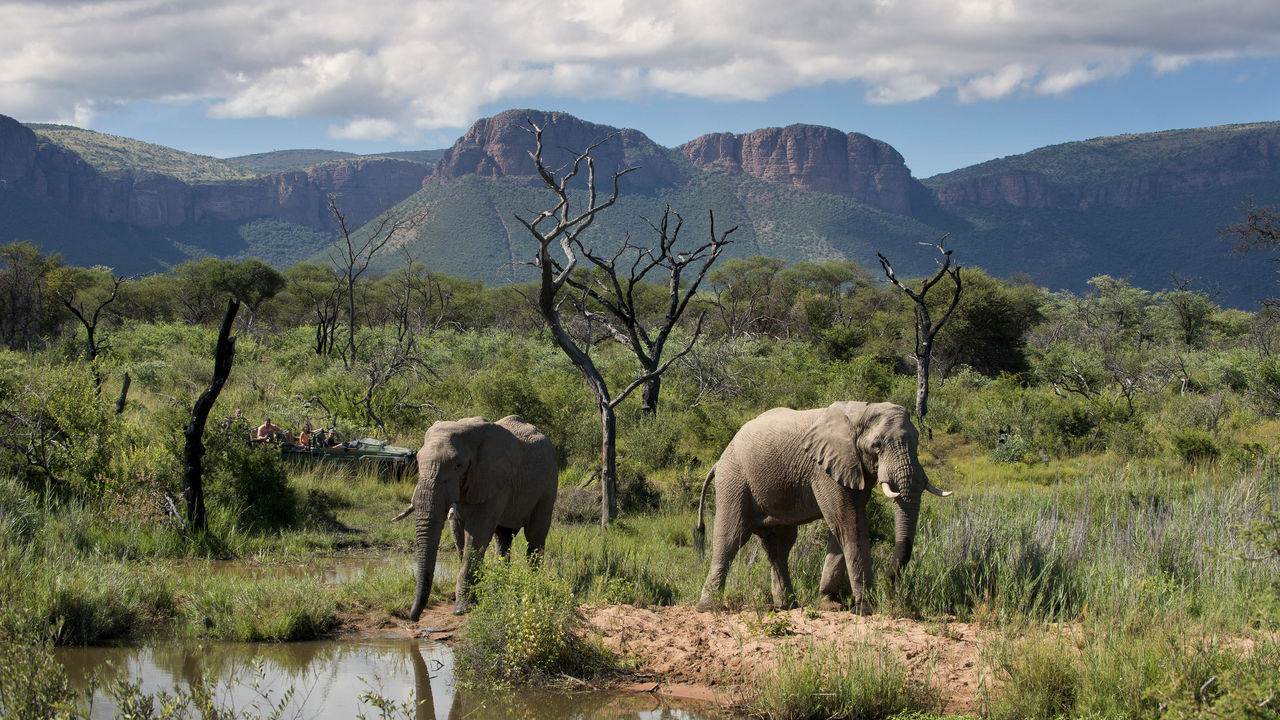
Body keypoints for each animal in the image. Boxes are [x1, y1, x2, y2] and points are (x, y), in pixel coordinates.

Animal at [391, 415, 558, 617]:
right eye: (417, 459)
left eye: (458, 465)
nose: (412, 617)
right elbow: (458, 534)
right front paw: (472, 597)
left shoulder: (494, 479)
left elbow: (477, 533)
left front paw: (461, 609)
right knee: (503, 538)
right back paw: (498, 590)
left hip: (548, 483)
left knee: (535, 534)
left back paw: (534, 585)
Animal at [691, 399, 952, 607]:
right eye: (876, 446)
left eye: (917, 443)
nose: (886, 582)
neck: (861, 411)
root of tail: (719, 460)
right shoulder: (824, 469)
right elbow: (849, 524)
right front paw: (866, 607)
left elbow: (842, 527)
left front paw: (830, 603)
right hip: (734, 481)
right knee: (731, 537)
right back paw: (708, 607)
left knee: (780, 544)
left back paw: (787, 606)